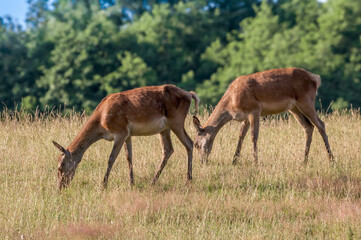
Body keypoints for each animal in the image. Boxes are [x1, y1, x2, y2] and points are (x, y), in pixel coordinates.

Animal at [51, 85, 198, 190]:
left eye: (61, 166)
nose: (60, 187)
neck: (101, 123)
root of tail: (190, 94)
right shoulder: (127, 134)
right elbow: (128, 157)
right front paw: (131, 183)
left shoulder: (120, 132)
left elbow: (111, 158)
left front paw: (103, 185)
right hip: (164, 128)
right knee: (168, 149)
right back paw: (153, 181)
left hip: (176, 120)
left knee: (189, 143)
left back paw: (188, 181)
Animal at [193, 67, 334, 165]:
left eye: (196, 144)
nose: (202, 161)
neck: (231, 104)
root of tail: (316, 78)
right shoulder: (245, 117)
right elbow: (240, 136)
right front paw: (234, 161)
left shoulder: (255, 110)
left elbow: (253, 136)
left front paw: (255, 162)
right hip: (294, 108)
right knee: (308, 127)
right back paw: (304, 161)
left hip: (306, 100)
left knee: (321, 124)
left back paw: (331, 160)